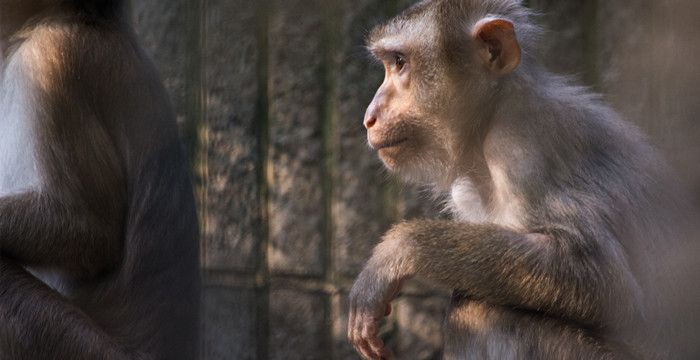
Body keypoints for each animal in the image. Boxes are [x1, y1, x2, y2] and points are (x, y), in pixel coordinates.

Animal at [348, 0, 692, 360]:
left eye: (400, 63)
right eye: (389, 64)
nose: (369, 116)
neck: (492, 115)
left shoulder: (523, 150)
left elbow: (605, 281)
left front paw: (398, 251)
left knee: (478, 309)